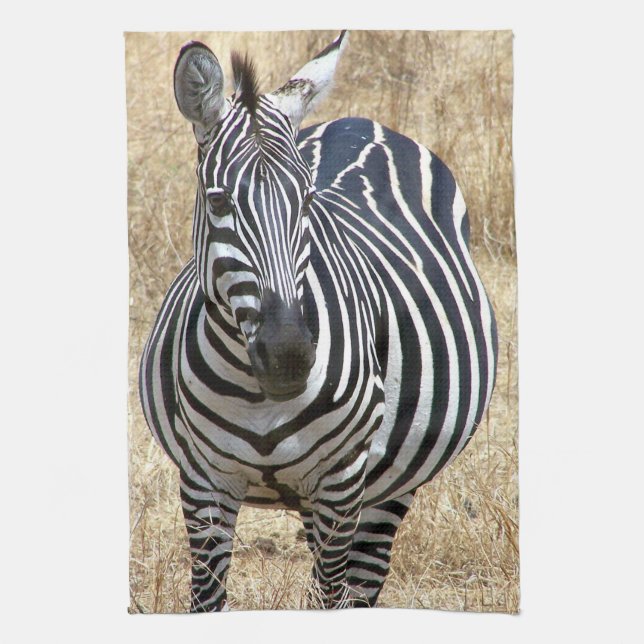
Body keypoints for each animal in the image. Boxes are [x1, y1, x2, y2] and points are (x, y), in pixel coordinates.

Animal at [139, 31, 497, 612]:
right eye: (219, 200)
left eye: (307, 199)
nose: (288, 356)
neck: (258, 394)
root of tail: (361, 121)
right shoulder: (202, 482)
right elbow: (207, 597)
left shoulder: (341, 479)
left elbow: (331, 594)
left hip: (386, 488)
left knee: (362, 582)